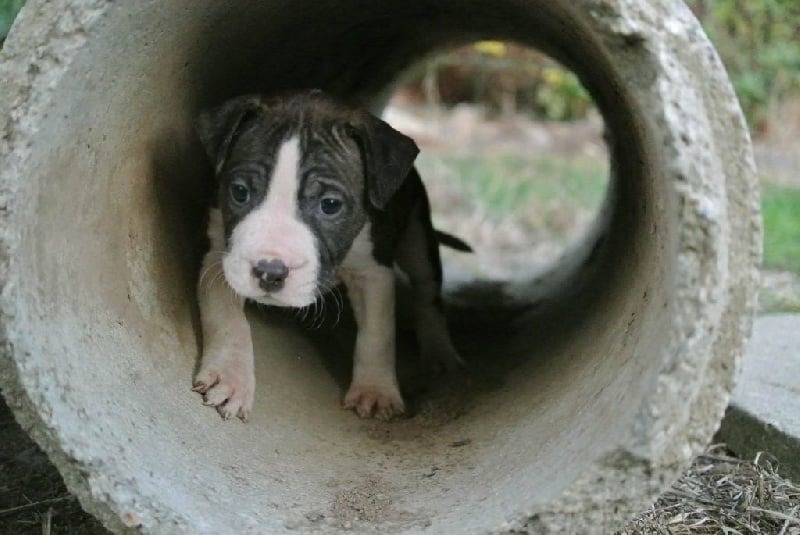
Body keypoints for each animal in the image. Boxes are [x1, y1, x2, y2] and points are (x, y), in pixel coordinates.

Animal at [192, 89, 462, 422]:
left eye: (330, 204)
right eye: (239, 192)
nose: (270, 272)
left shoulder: (373, 272)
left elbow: (377, 335)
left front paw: (375, 391)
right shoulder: (221, 256)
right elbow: (227, 318)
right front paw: (230, 379)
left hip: (418, 237)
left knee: (427, 293)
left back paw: (440, 352)